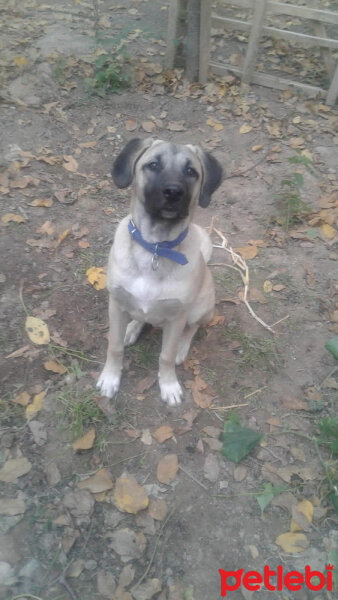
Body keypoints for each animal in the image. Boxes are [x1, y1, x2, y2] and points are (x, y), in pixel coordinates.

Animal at [96, 138, 223, 406]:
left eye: (191, 171)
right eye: (153, 165)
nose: (173, 192)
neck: (155, 246)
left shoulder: (177, 317)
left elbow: (166, 355)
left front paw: (169, 385)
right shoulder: (115, 303)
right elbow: (114, 346)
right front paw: (110, 378)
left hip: (200, 308)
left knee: (192, 328)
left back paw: (183, 347)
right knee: (140, 317)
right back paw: (132, 328)